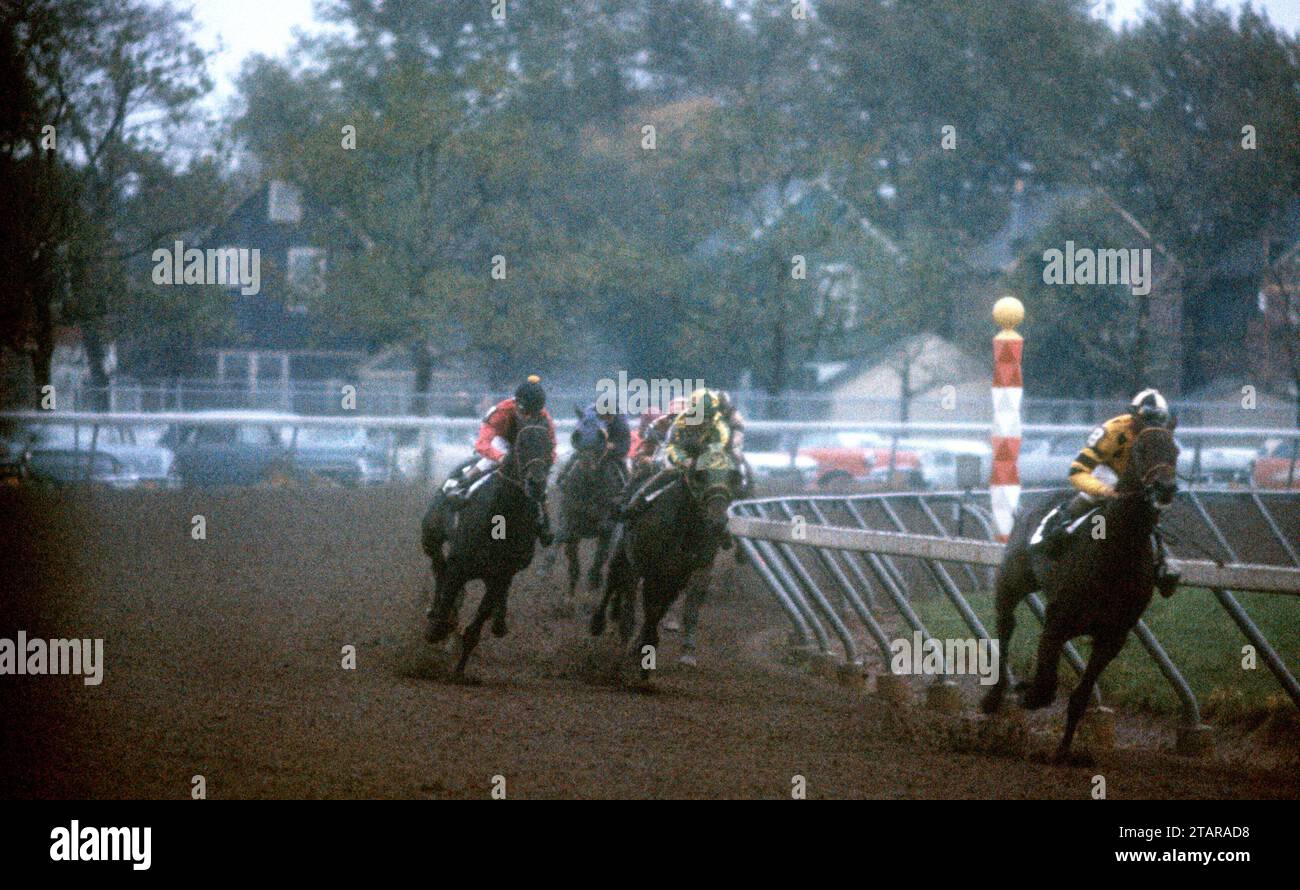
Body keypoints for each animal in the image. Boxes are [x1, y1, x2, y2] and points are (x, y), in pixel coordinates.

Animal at [421, 415, 553, 680]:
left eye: (549, 446)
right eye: (522, 444)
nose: (536, 484)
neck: (502, 516)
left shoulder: (501, 574)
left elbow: (477, 624)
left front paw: (460, 671)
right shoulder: (459, 565)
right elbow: (447, 592)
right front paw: (438, 625)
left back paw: (498, 620)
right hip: (430, 536)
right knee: (438, 564)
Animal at [535, 407, 621, 597]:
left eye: (602, 434)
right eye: (577, 434)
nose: (587, 463)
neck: (587, 488)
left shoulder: (607, 524)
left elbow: (602, 547)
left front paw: (593, 581)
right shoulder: (568, 517)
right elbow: (561, 536)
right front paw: (544, 569)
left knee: (601, 556)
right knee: (573, 562)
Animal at [592, 444, 743, 680]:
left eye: (734, 476)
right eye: (700, 475)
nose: (717, 522)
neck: (682, 528)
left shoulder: (685, 573)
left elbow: (665, 612)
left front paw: (651, 656)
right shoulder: (639, 567)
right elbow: (630, 612)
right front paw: (621, 658)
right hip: (621, 555)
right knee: (611, 582)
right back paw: (598, 624)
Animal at [977, 426, 1185, 758]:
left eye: (1175, 451)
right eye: (1141, 450)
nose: (1164, 487)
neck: (1115, 551)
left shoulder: (1113, 636)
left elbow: (1080, 695)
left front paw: (1064, 751)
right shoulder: (1057, 621)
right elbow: (1045, 686)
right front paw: (1026, 692)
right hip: (1011, 581)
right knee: (1005, 627)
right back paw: (994, 696)